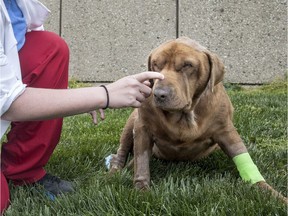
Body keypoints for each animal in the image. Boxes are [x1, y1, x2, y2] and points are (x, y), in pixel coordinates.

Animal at [108, 36, 288, 203]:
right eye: (155, 64)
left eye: (188, 65)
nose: (158, 94)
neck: (185, 114)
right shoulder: (143, 127)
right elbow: (142, 161)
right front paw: (141, 190)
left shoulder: (226, 131)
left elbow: (244, 160)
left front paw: (271, 192)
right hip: (131, 121)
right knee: (123, 152)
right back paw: (115, 171)